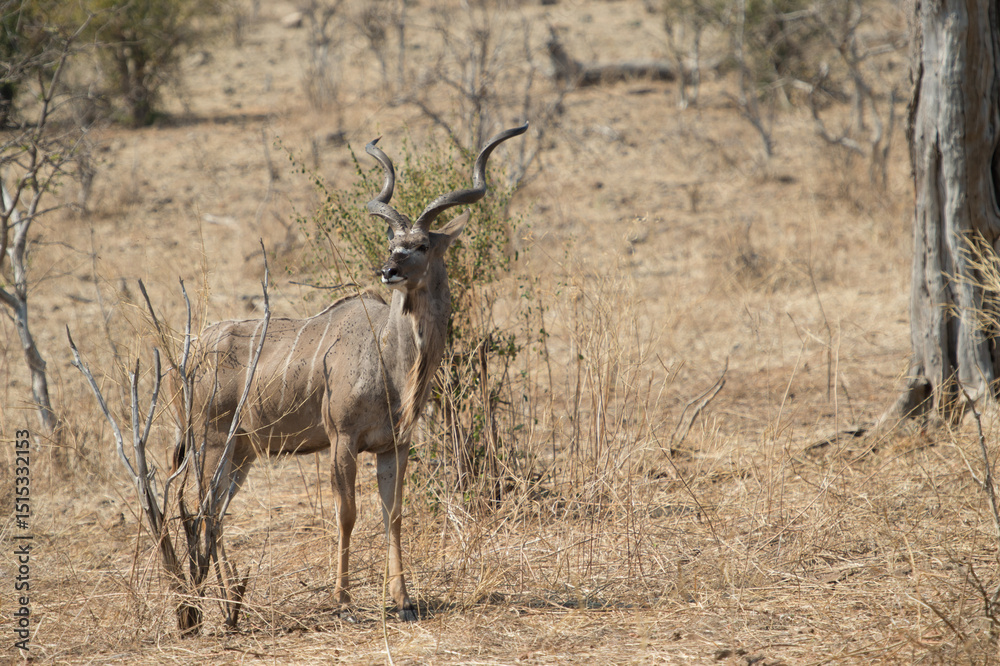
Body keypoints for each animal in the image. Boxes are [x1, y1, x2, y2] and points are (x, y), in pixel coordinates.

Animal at [179, 123, 528, 621]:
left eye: (422, 245)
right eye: (391, 243)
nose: (388, 270)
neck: (389, 362)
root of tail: (190, 350)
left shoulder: (394, 446)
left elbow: (393, 514)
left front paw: (403, 600)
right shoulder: (342, 440)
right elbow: (347, 514)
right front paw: (342, 600)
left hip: (242, 452)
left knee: (216, 511)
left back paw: (226, 604)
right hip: (209, 443)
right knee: (206, 510)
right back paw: (224, 606)